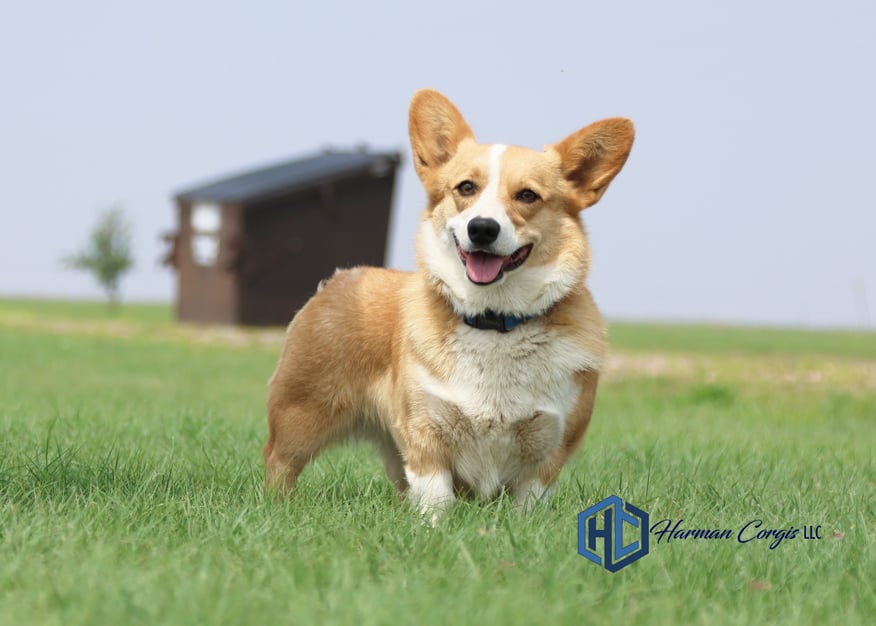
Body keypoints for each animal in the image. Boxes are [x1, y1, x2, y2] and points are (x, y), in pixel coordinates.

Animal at [264, 89, 632, 516]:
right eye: (466, 188)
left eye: (528, 195)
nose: (483, 229)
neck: (495, 320)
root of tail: (340, 277)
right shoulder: (425, 434)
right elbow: (436, 500)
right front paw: (432, 527)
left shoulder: (548, 451)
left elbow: (528, 507)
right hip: (301, 417)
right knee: (278, 462)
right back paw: (277, 508)